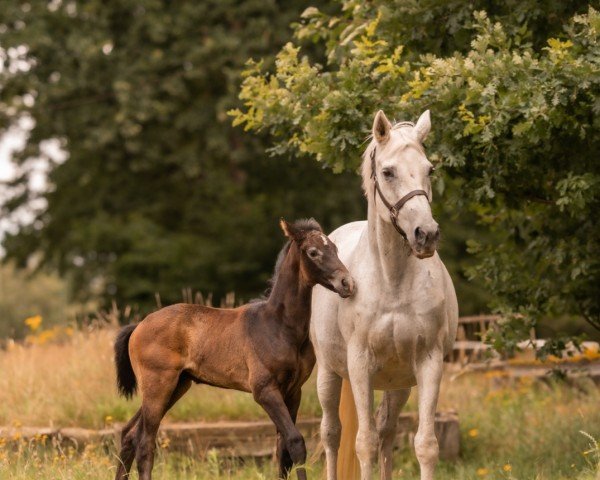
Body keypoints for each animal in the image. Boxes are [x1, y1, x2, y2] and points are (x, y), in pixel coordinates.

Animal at [114, 218, 354, 480]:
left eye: (335, 248)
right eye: (313, 252)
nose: (347, 283)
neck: (280, 326)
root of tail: (138, 326)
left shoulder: (293, 391)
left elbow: (283, 450)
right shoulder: (265, 390)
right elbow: (295, 442)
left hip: (177, 386)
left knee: (129, 434)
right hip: (158, 385)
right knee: (145, 441)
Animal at [312, 109, 458, 480]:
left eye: (429, 170)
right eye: (388, 172)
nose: (426, 234)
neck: (392, 282)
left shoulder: (428, 363)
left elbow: (425, 445)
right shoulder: (359, 366)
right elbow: (362, 443)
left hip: (398, 383)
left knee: (387, 431)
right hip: (329, 374)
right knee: (332, 433)